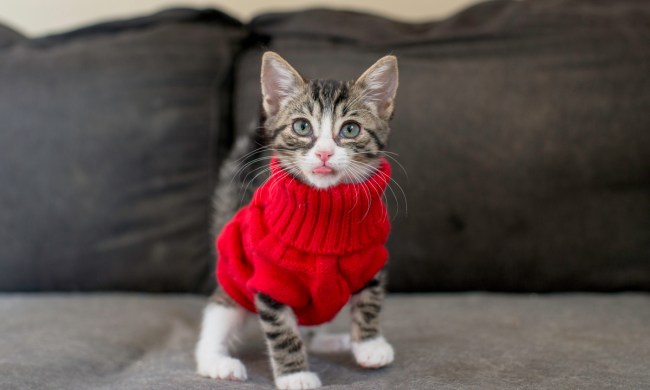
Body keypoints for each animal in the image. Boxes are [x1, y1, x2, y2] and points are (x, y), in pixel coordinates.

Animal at [194, 51, 394, 390]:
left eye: (350, 130)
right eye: (302, 127)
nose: (325, 153)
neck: (324, 210)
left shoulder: (370, 258)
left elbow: (369, 300)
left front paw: (369, 345)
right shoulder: (269, 279)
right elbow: (282, 331)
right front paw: (295, 375)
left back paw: (331, 341)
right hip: (232, 289)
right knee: (216, 319)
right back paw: (217, 362)